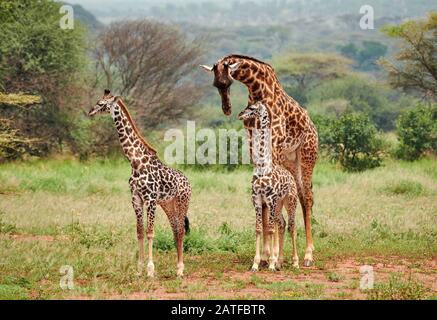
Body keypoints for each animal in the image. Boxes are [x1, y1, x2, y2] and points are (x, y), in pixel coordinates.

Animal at [88, 89, 191, 278]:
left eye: (101, 103)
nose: (90, 111)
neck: (135, 161)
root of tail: (187, 181)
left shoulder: (150, 199)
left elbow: (150, 233)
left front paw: (150, 270)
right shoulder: (136, 199)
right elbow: (139, 232)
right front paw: (139, 269)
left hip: (182, 203)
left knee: (180, 230)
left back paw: (180, 269)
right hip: (169, 205)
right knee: (175, 230)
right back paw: (177, 267)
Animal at [237, 101, 298, 272]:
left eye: (252, 108)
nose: (240, 114)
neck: (262, 167)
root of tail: (291, 177)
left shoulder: (270, 199)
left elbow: (269, 229)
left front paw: (270, 263)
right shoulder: (257, 199)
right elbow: (259, 228)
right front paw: (256, 264)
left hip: (290, 201)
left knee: (292, 226)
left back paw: (295, 262)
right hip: (278, 204)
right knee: (282, 224)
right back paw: (280, 262)